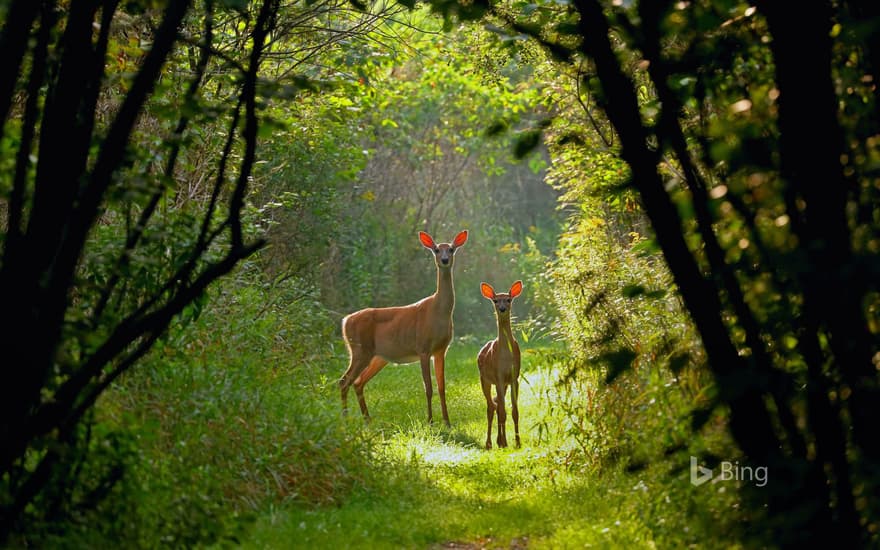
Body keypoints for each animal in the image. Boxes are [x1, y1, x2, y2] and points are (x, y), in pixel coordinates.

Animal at [340, 229, 470, 426]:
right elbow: (428, 388)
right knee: (344, 381)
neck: (438, 312)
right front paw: (430, 421)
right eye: (436, 249)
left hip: (377, 356)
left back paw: (367, 420)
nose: (445, 260)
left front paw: (447, 422)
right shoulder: (423, 347)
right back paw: (346, 420)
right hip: (360, 349)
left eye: (452, 249)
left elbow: (441, 387)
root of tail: (345, 321)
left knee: (358, 382)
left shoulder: (441, 350)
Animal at [478, 282, 524, 450]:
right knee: (491, 406)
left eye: (509, 299)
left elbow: (514, 412)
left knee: (496, 404)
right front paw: (505, 442)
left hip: (503, 384)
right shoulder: (498, 376)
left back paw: (500, 440)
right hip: (484, 379)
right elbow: (503, 411)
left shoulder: (514, 377)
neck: (506, 356)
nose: (502, 309)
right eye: (495, 300)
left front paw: (517, 442)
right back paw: (490, 443)